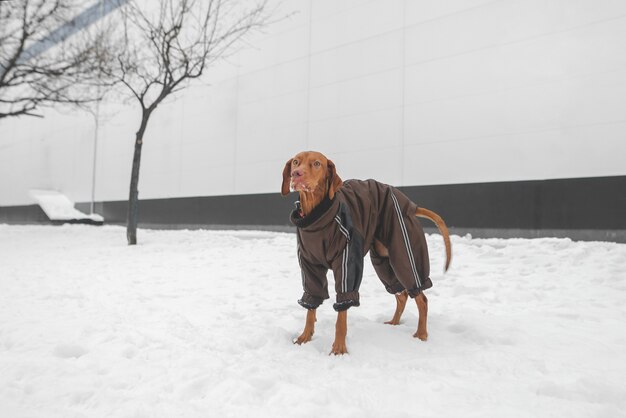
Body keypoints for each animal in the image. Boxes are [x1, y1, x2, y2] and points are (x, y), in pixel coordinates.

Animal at [280, 152, 450, 354]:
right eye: (296, 162)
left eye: (316, 164)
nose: (296, 174)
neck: (317, 219)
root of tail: (410, 205)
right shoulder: (310, 267)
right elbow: (310, 306)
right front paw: (305, 337)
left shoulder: (347, 264)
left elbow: (342, 315)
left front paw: (339, 349)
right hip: (383, 262)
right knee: (401, 295)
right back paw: (394, 323)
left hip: (405, 254)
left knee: (421, 297)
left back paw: (422, 334)